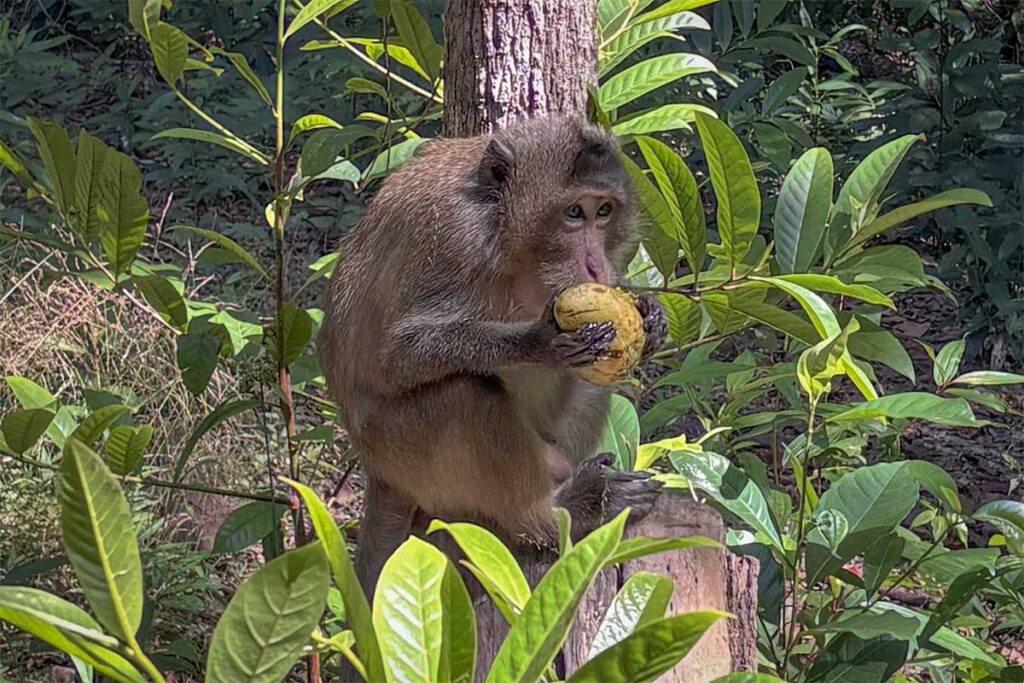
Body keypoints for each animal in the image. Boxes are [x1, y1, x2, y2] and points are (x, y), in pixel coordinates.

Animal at [319, 114, 668, 600]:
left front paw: (650, 317)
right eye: (574, 214)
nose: (597, 267)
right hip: (399, 449)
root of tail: (376, 471)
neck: (506, 236)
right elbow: (397, 355)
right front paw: (539, 341)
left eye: (604, 212)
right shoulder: (452, 235)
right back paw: (557, 515)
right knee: (467, 395)